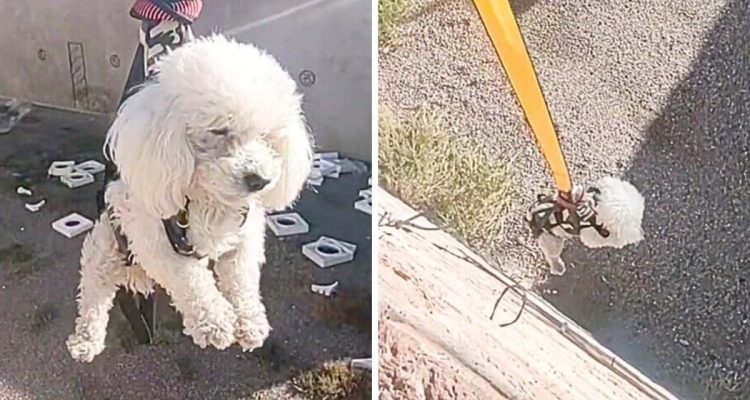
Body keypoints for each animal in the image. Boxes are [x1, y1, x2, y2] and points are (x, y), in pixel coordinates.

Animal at [64, 36, 312, 364]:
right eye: (218, 129)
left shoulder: (245, 237)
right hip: (105, 248)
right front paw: (215, 321)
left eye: (266, 135)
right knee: (93, 296)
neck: (210, 200)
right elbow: (189, 279)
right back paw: (85, 341)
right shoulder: (152, 238)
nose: (258, 180)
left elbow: (242, 278)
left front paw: (250, 321)